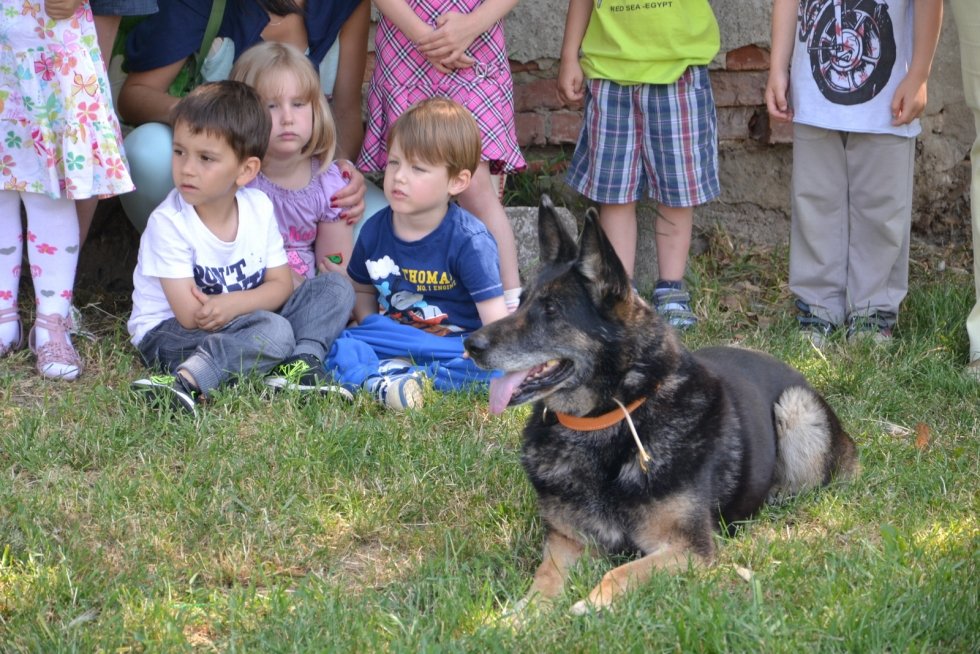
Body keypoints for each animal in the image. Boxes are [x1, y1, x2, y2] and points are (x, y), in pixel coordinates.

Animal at [468, 197, 856, 616]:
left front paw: (589, 606)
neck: (610, 420)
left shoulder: (687, 548)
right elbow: (543, 581)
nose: (470, 344)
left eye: (552, 310)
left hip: (796, 408)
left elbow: (618, 573)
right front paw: (517, 617)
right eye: (520, 302)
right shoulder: (567, 541)